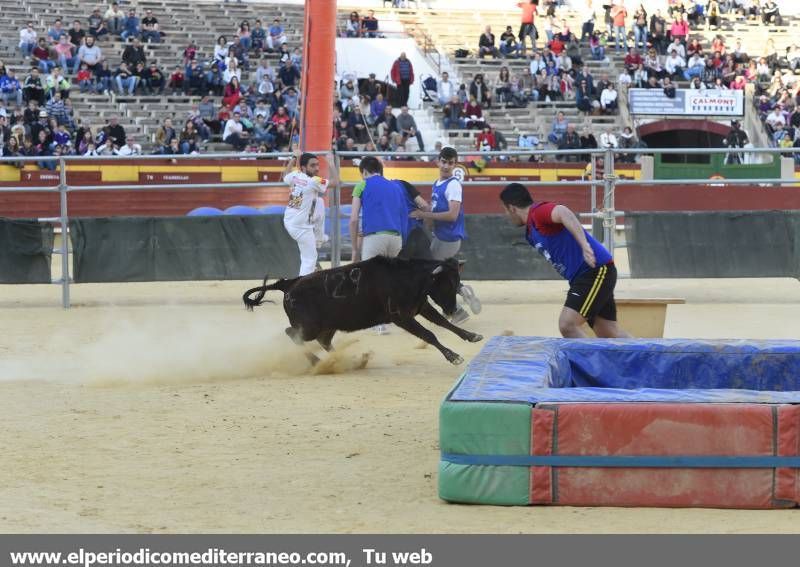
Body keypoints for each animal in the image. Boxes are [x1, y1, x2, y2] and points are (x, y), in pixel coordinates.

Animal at [242, 256, 482, 366]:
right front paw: (454, 357)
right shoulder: (401, 317)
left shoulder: (421, 307)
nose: (452, 308)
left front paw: (472, 336)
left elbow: (443, 323)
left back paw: (342, 360)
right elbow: (429, 334)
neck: (407, 278)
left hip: (327, 326)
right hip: (309, 326)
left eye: (456, 282)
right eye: (446, 284)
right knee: (292, 334)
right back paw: (318, 361)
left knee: (323, 341)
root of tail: (289, 283)